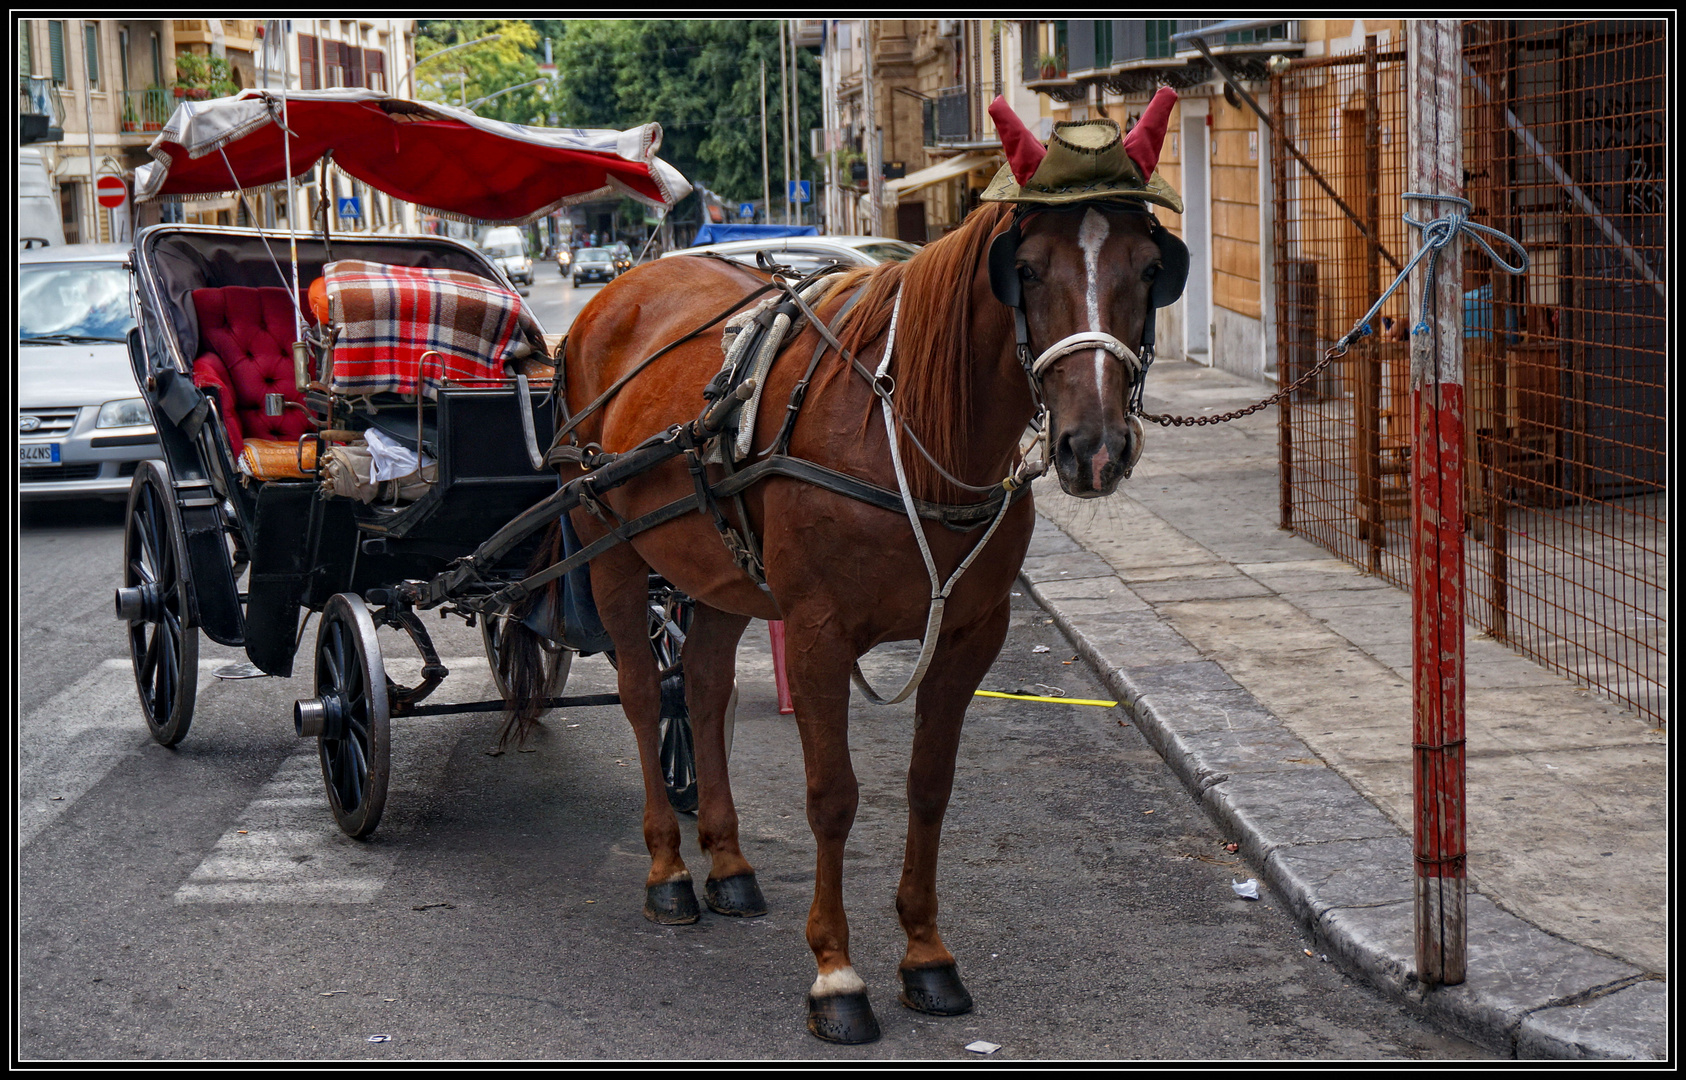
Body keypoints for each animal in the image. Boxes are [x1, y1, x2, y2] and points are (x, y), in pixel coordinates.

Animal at [512, 197, 1173, 1037]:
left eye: (1148, 270)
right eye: (1025, 270)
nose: (1094, 449)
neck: (912, 442)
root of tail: (614, 292)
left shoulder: (971, 637)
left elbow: (929, 787)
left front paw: (926, 955)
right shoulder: (816, 636)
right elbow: (833, 796)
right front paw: (836, 973)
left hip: (719, 570)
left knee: (703, 687)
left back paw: (726, 862)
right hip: (611, 549)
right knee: (639, 693)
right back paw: (668, 869)